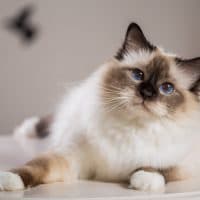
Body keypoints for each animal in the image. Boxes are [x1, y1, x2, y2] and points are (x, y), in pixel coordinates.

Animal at [0, 22, 200, 192]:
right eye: (138, 75)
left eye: (167, 88)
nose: (147, 93)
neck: (131, 127)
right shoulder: (70, 156)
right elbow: (36, 166)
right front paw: (10, 179)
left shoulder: (186, 164)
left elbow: (162, 167)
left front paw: (144, 180)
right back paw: (24, 130)